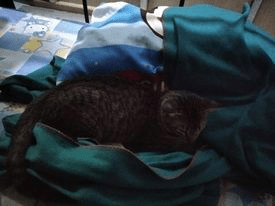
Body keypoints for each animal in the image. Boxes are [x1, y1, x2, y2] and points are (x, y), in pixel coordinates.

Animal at [5, 70, 218, 187]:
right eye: (184, 129)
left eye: (200, 127)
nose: (193, 136)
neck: (158, 109)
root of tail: (42, 98)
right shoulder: (152, 142)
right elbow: (180, 146)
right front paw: (202, 145)